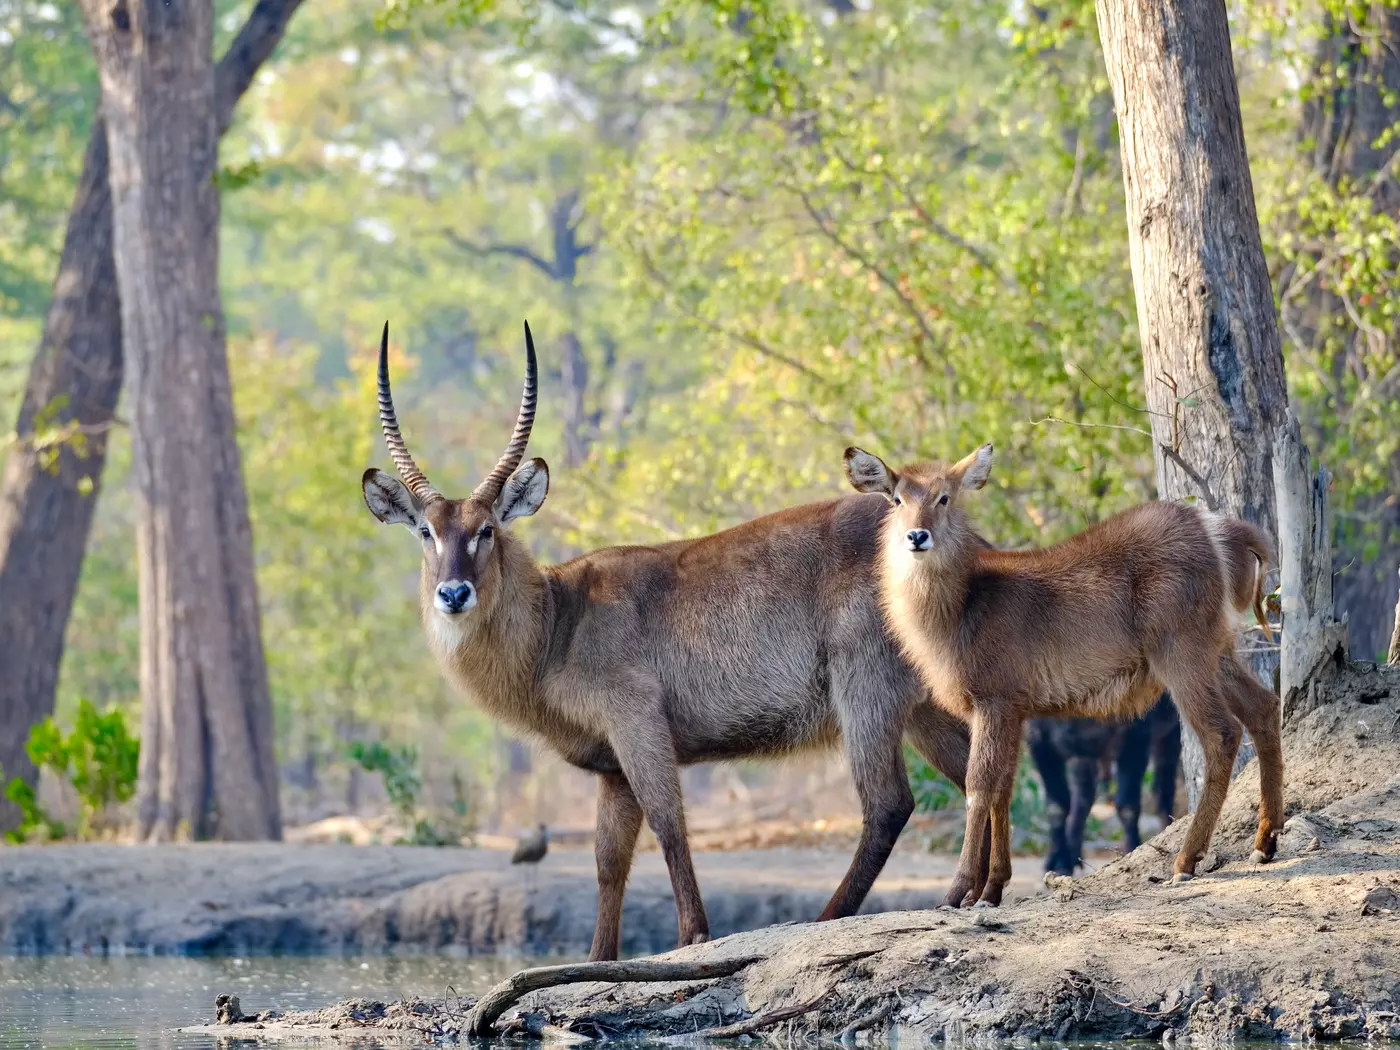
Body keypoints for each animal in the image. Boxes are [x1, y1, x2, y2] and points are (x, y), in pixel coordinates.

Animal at [360, 322, 983, 960]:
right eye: (426, 532)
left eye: (486, 530)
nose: (453, 593)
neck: (557, 622)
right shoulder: (611, 768)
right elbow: (608, 860)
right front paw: (598, 960)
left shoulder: (637, 722)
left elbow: (669, 824)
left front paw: (693, 937)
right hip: (922, 704)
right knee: (974, 774)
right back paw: (977, 895)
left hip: (865, 689)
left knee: (889, 803)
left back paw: (830, 918)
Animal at [844, 443, 1284, 908]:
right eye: (897, 499)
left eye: (944, 497)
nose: (917, 536)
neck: (962, 607)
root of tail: (1219, 530)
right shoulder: (1015, 711)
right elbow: (1004, 787)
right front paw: (992, 889)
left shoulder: (993, 700)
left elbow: (979, 786)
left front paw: (959, 890)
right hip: (1217, 652)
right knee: (1264, 707)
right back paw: (1265, 841)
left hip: (1181, 655)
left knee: (1222, 734)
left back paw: (1186, 861)